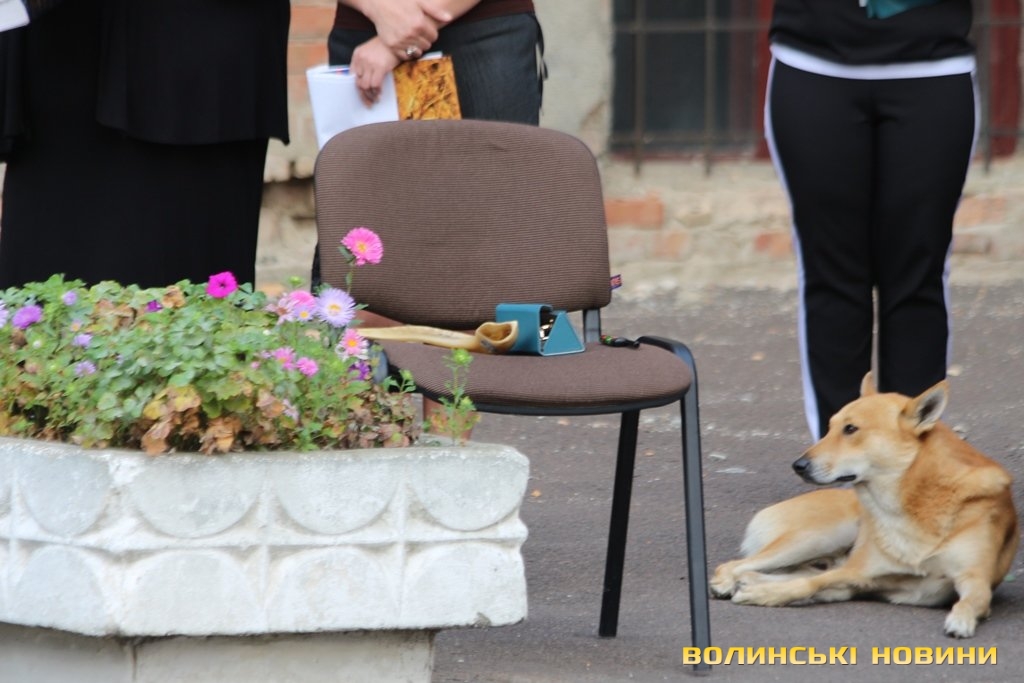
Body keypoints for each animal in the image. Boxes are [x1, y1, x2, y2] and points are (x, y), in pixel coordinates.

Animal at [710, 373, 1019, 637]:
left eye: (851, 429)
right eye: (830, 426)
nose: (798, 466)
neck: (917, 500)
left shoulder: (975, 580)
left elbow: (971, 601)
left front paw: (961, 619)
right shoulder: (857, 572)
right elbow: (808, 584)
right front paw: (765, 595)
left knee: (770, 572)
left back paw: (751, 581)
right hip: (817, 537)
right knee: (736, 566)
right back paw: (730, 582)